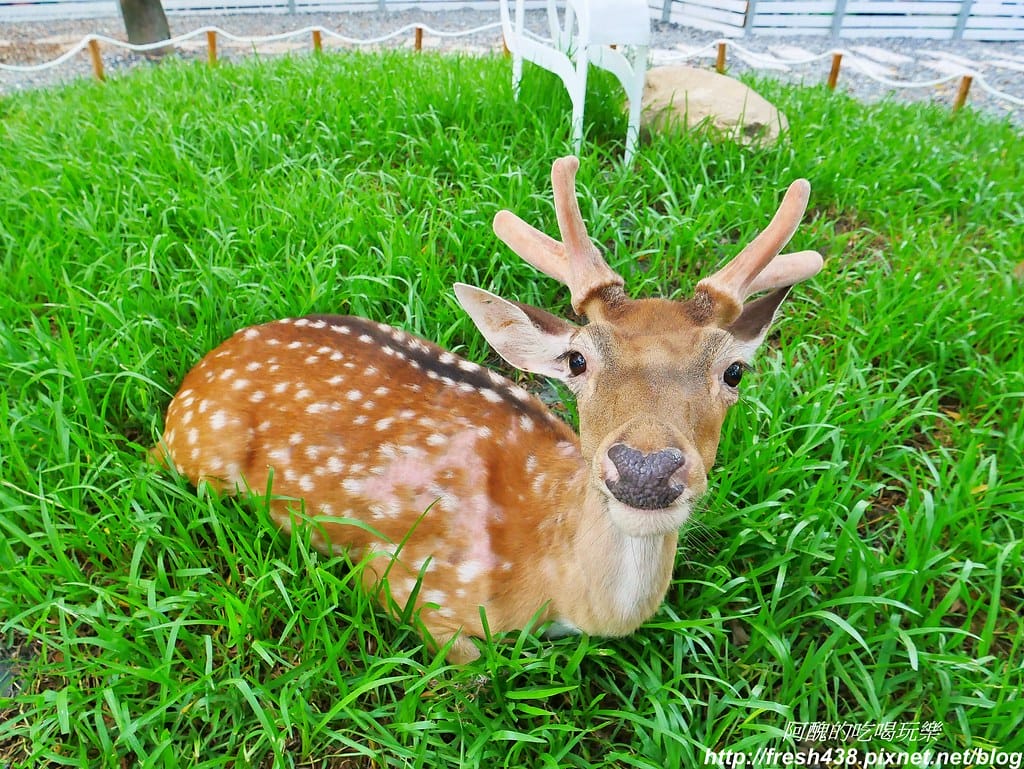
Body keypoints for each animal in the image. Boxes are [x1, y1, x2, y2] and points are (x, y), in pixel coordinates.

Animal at [153, 156, 823, 663]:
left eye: (733, 371)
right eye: (577, 361)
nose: (646, 468)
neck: (559, 590)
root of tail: (200, 372)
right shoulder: (411, 580)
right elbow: (471, 661)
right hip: (201, 451)